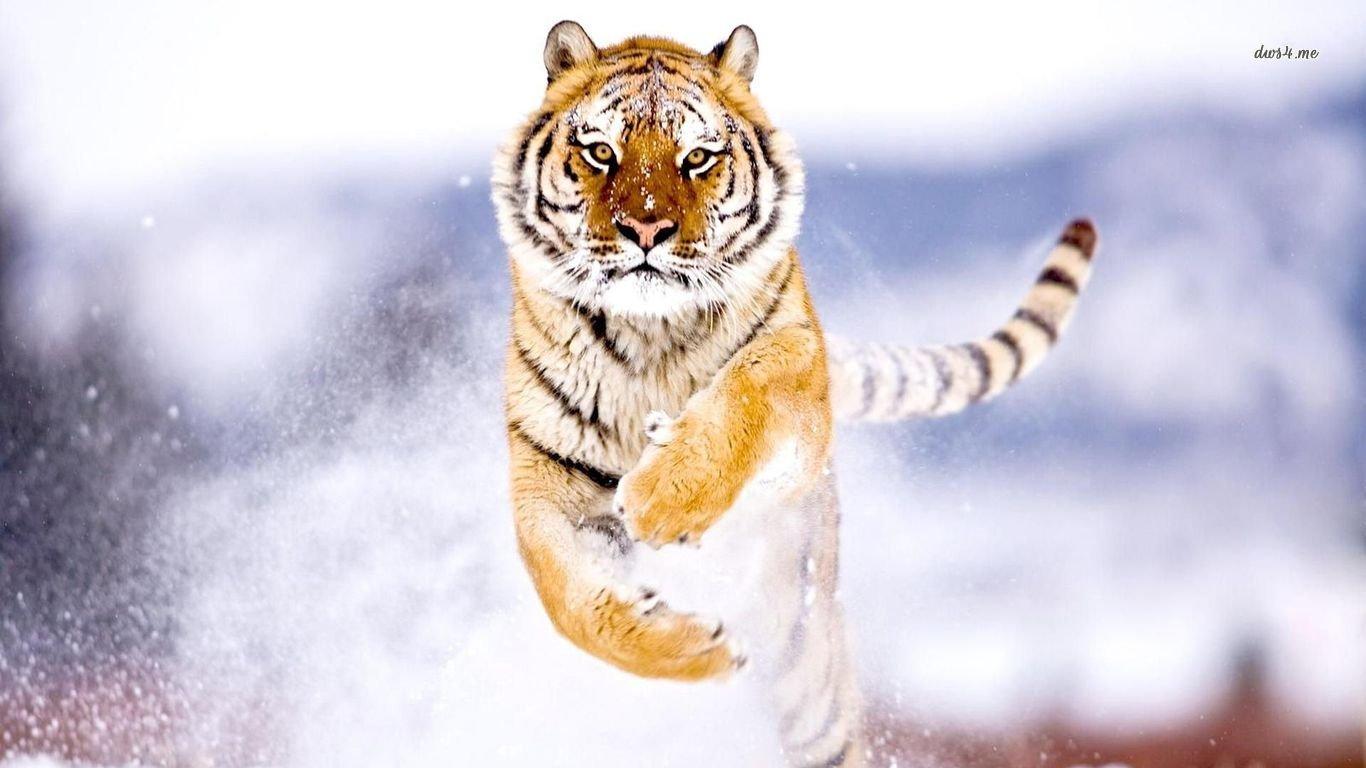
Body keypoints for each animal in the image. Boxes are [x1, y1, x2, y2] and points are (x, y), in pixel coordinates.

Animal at [491, 21, 1097, 767]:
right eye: (600, 151)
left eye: (698, 158)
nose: (647, 230)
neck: (649, 333)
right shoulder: (547, 480)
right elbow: (568, 601)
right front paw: (697, 648)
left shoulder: (799, 379)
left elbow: (753, 381)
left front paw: (664, 497)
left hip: (808, 674)